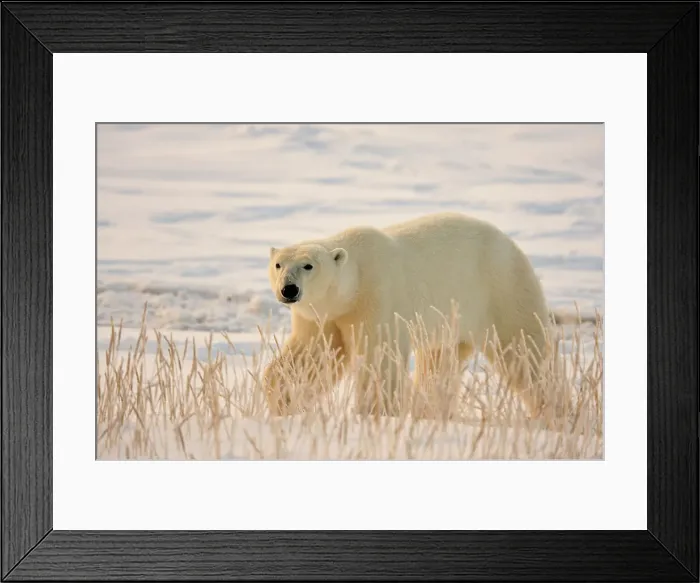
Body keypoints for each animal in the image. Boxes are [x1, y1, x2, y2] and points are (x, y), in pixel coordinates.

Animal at [262, 211, 555, 422]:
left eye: (308, 265)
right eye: (278, 264)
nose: (289, 289)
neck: (355, 281)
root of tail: (512, 245)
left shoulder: (378, 297)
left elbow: (379, 358)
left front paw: (376, 410)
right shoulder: (324, 315)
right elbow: (312, 356)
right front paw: (280, 399)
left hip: (500, 290)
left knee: (523, 351)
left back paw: (552, 410)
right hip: (451, 320)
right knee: (439, 361)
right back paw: (430, 411)